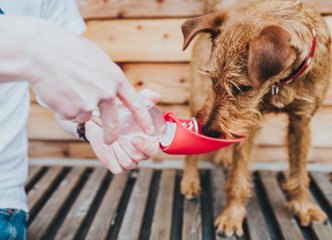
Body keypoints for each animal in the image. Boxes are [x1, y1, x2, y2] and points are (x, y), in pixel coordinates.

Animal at [180, 0, 330, 236]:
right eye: (213, 79)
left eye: (243, 87)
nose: (209, 130)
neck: (282, 83)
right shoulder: (247, 120)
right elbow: (238, 177)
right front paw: (232, 215)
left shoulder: (301, 121)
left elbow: (299, 172)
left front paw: (304, 205)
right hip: (197, 96)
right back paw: (189, 180)